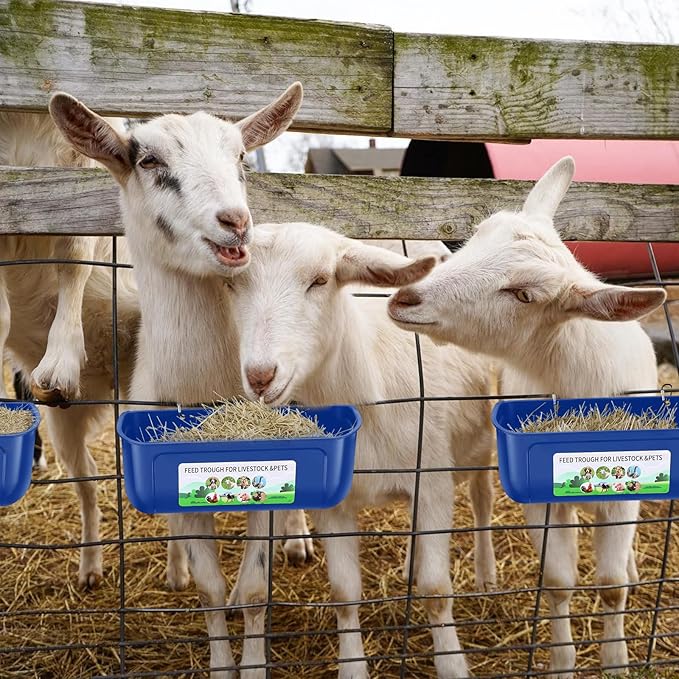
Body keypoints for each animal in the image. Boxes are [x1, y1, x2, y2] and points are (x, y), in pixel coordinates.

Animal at [49, 84, 311, 679]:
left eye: (240, 157)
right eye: (148, 161)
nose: (235, 221)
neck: (208, 385)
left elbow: (255, 587)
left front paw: (252, 663)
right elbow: (211, 589)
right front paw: (221, 659)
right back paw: (176, 569)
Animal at [225, 221, 497, 679]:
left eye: (320, 281)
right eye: (230, 284)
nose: (261, 376)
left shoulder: (433, 483)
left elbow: (437, 589)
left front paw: (452, 664)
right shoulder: (337, 505)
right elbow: (344, 592)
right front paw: (352, 666)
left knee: (481, 497)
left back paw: (486, 572)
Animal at [388, 156, 667, 678]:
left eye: (523, 295)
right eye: (478, 233)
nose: (405, 299)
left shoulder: (624, 493)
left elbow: (611, 587)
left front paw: (616, 661)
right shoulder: (540, 497)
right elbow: (557, 581)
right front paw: (561, 660)